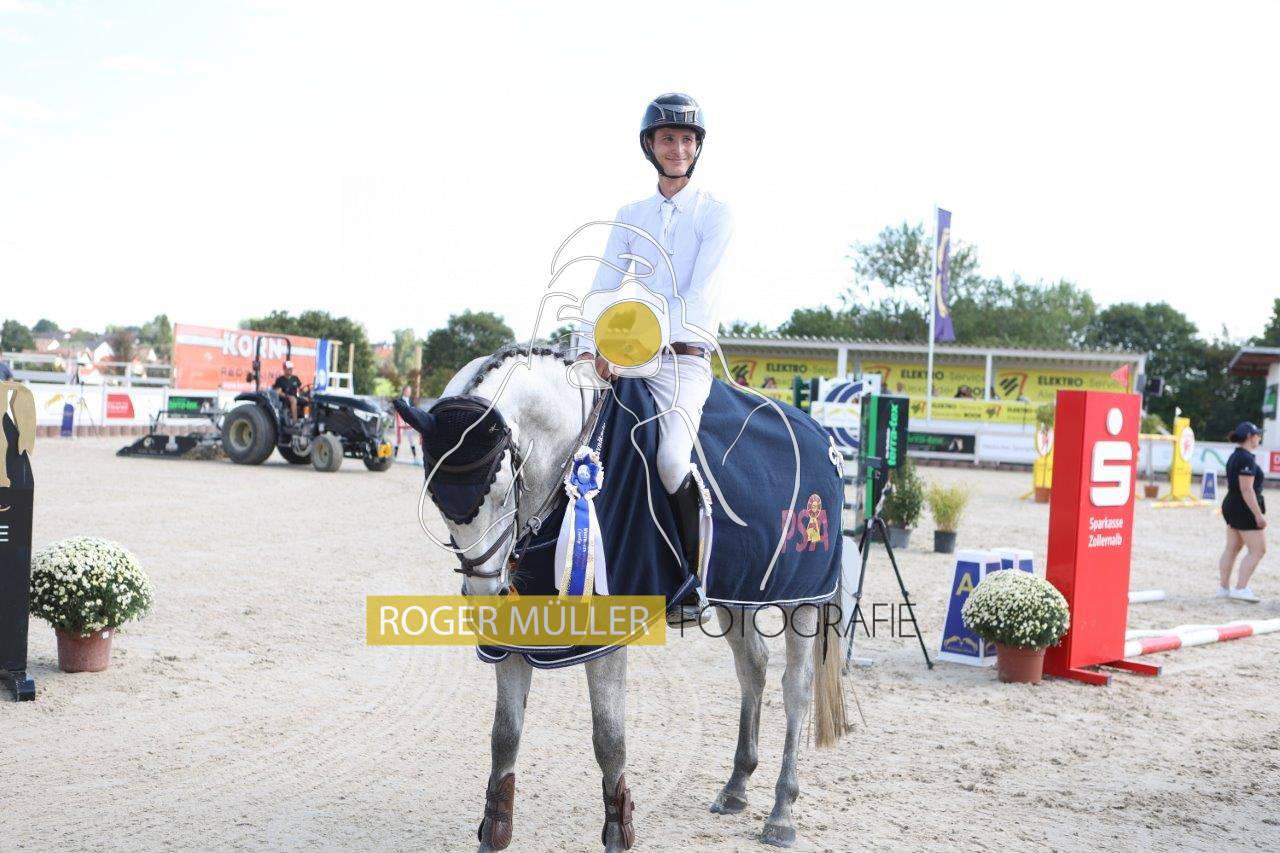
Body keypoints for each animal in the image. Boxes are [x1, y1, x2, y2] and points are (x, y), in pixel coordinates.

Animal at [395, 345, 846, 851]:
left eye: (502, 485)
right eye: (436, 496)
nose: (485, 594)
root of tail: (821, 438)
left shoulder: (606, 638)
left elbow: (609, 740)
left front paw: (618, 831)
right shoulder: (514, 637)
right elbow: (504, 738)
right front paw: (492, 835)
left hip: (803, 600)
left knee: (797, 687)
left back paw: (782, 811)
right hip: (736, 599)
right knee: (753, 667)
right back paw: (736, 786)